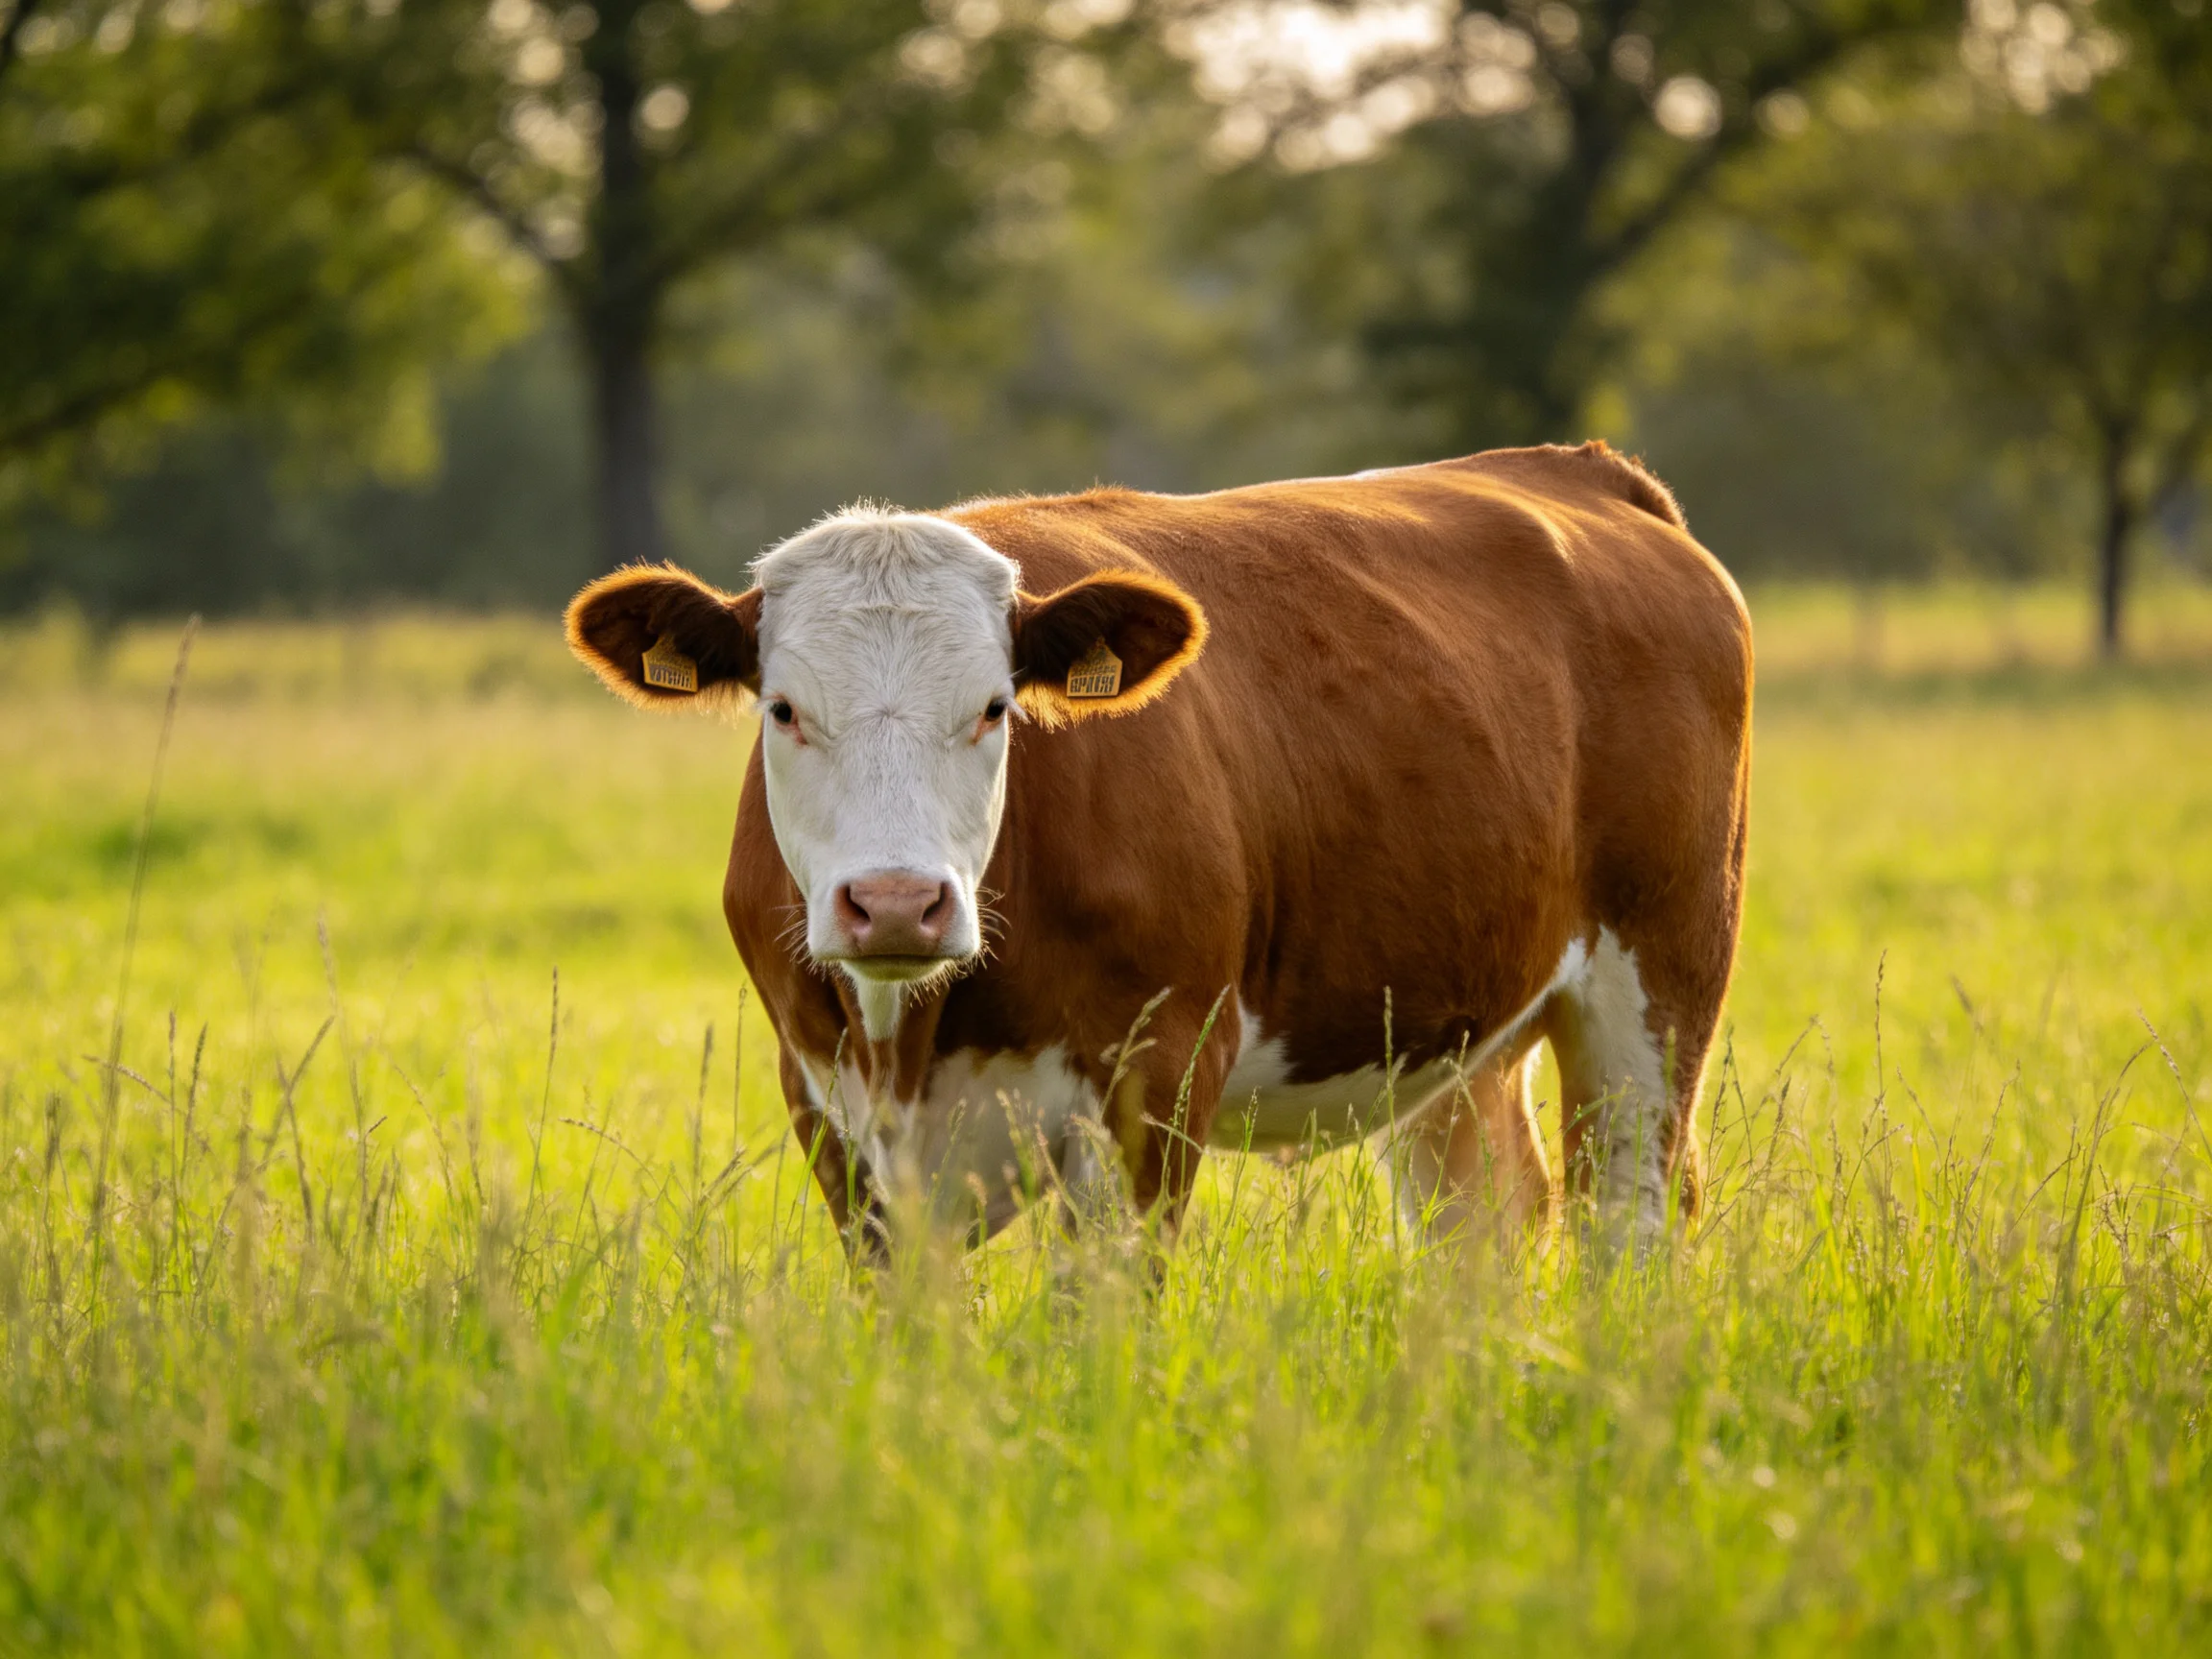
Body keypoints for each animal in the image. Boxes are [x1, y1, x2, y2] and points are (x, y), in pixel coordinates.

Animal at [565, 443, 1753, 1260]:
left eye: (995, 707)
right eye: (783, 709)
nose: (897, 903)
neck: (915, 1034)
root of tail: (1579, 470)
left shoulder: (1157, 1080)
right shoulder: (831, 1113)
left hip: (1660, 980)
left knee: (1628, 1217)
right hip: (1456, 1034)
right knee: (1483, 1223)